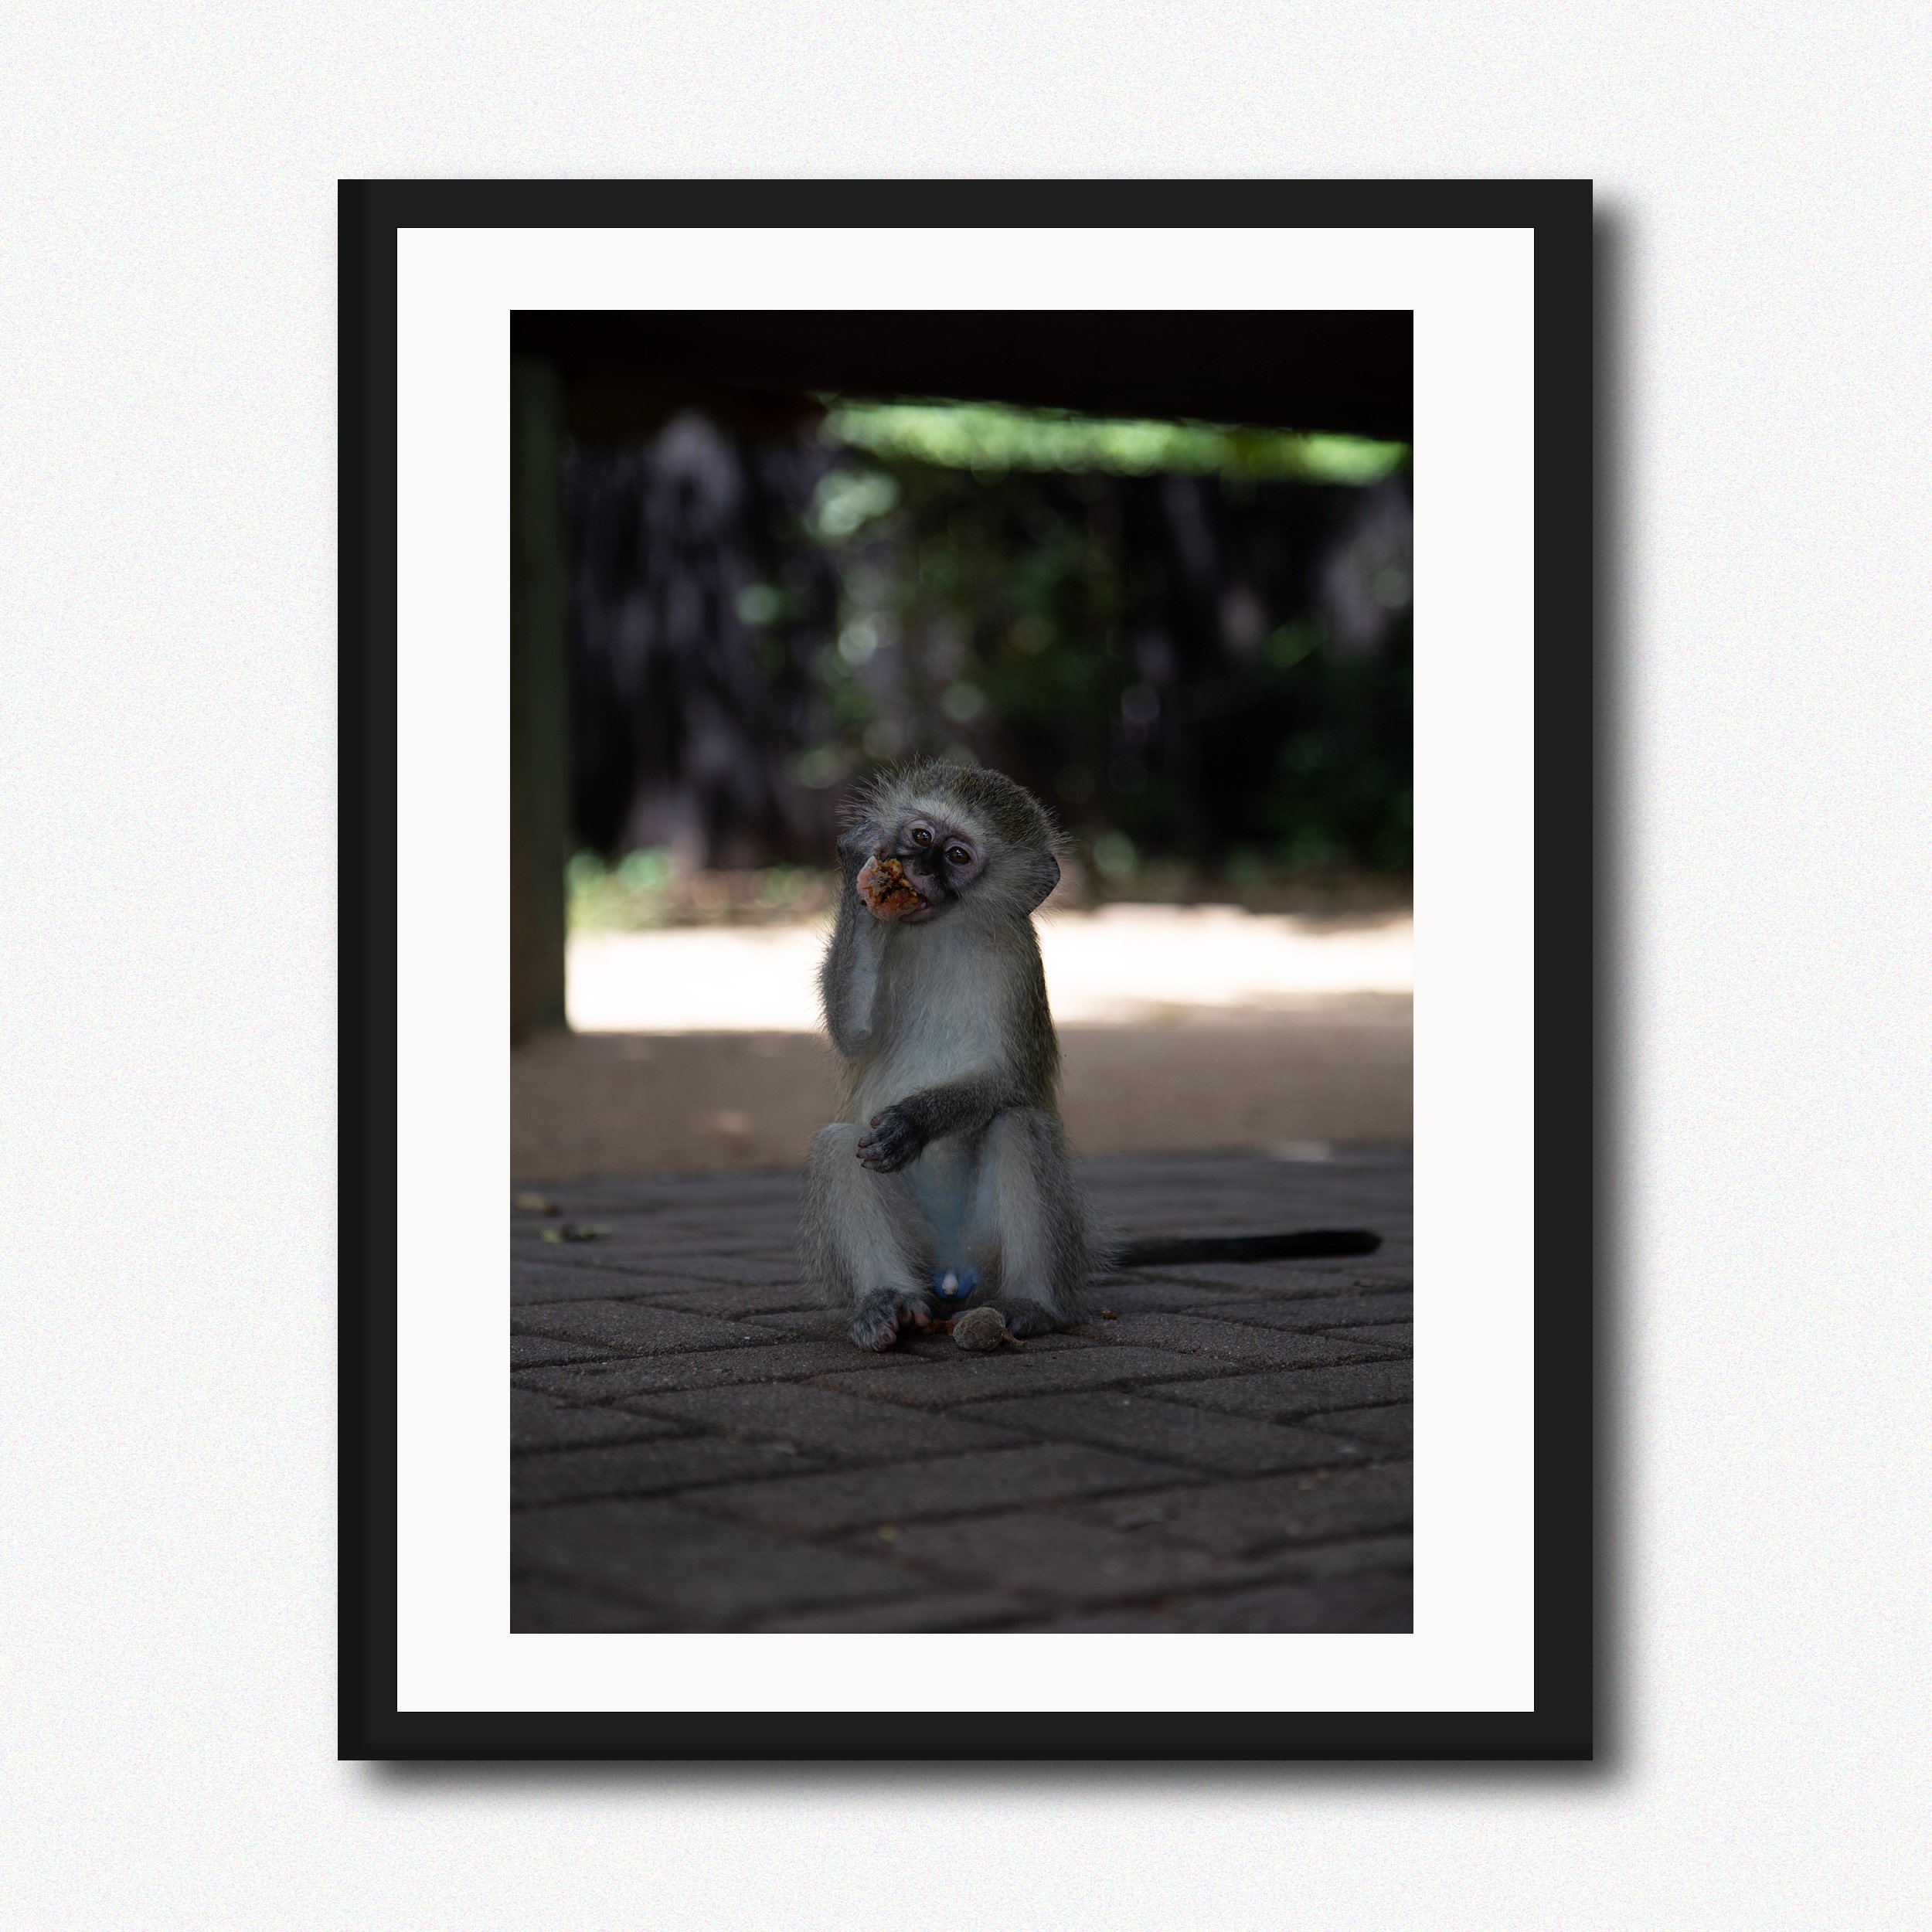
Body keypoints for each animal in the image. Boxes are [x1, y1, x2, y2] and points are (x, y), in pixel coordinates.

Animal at [800, 760, 1099, 1351]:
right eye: (921, 837)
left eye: (957, 856)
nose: (915, 864)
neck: (941, 929)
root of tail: (952, 1273)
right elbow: (854, 1035)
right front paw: (856, 860)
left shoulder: (1019, 959)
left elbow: (1011, 1079)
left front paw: (915, 1121)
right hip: (916, 1251)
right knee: (839, 1145)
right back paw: (888, 1303)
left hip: (986, 1250)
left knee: (1017, 1126)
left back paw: (1032, 1304)